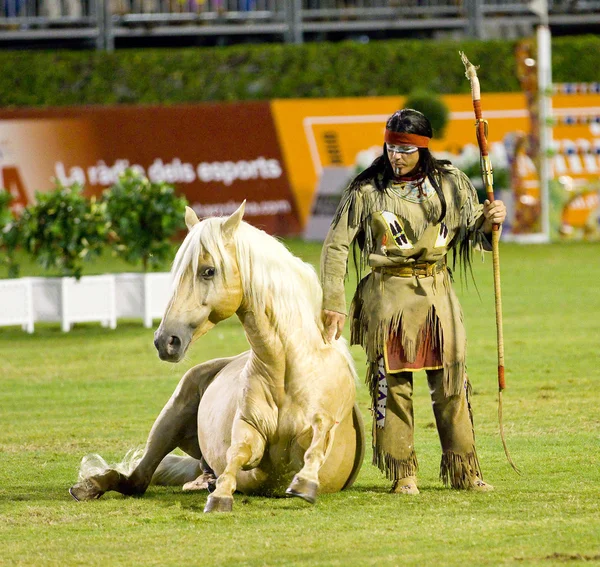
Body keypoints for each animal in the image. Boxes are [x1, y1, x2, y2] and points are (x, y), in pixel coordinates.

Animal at [73, 202, 368, 512]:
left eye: (208, 271)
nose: (166, 341)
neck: (290, 373)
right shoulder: (248, 431)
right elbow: (238, 453)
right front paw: (221, 496)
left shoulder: (320, 427)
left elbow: (319, 437)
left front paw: (304, 482)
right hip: (169, 419)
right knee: (137, 479)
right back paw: (89, 486)